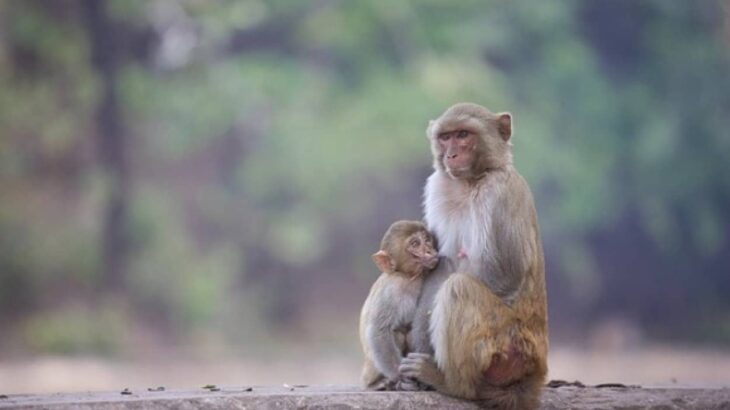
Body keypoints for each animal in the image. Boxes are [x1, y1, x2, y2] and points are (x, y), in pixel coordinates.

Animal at [358, 221, 438, 390]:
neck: (409, 277)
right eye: (415, 244)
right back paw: (378, 383)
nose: (429, 250)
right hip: (370, 370)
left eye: (426, 239)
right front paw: (400, 375)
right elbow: (379, 330)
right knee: (398, 334)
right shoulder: (391, 290)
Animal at [398, 102, 544, 410]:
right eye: (445, 137)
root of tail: (534, 371)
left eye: (463, 135)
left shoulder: (501, 192)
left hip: (507, 348)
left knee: (458, 288)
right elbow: (442, 265)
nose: (451, 154)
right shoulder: (439, 187)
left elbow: (505, 273)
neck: (472, 182)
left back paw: (453, 384)